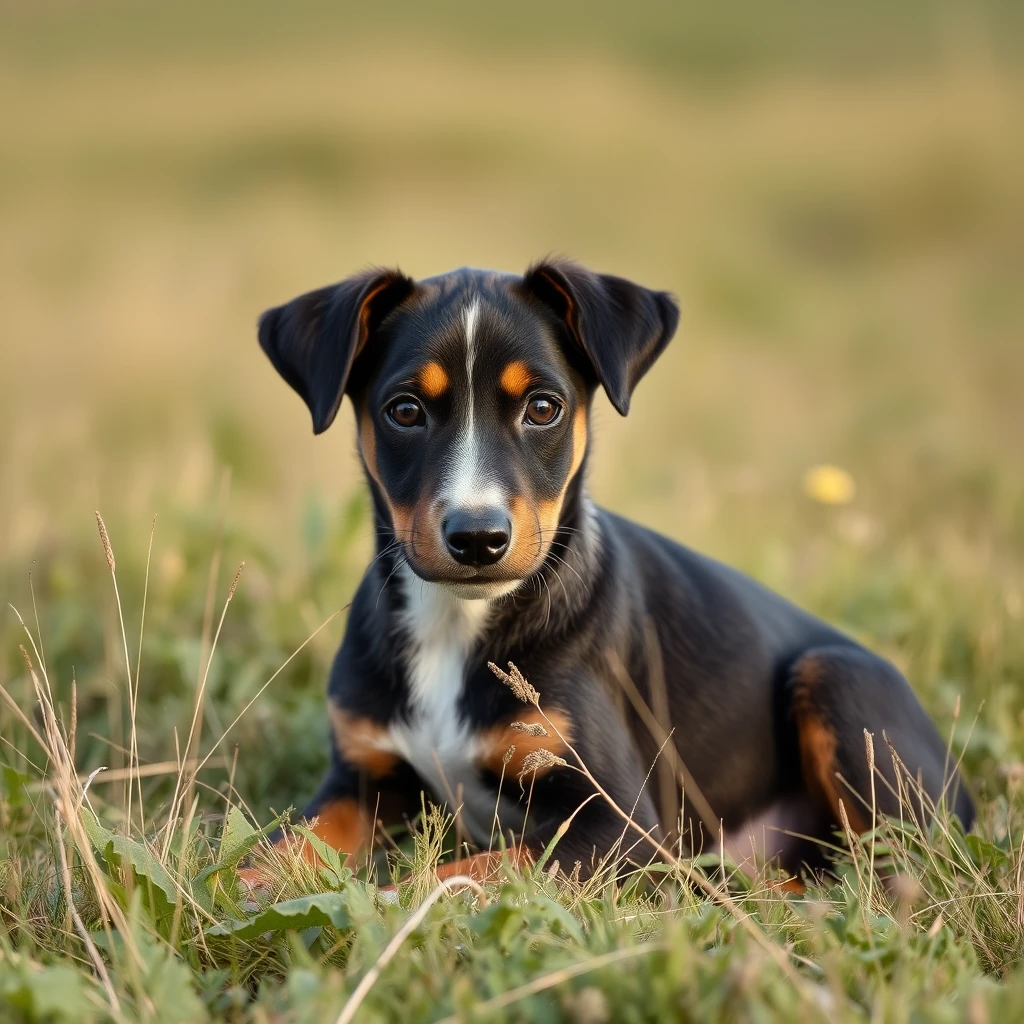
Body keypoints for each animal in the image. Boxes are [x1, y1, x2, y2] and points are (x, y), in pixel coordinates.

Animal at [256, 260, 974, 884]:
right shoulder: (358, 777)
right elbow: (276, 851)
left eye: (543, 408)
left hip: (840, 681)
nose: (479, 538)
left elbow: (454, 875)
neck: (457, 624)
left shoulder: (620, 823)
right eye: (404, 411)